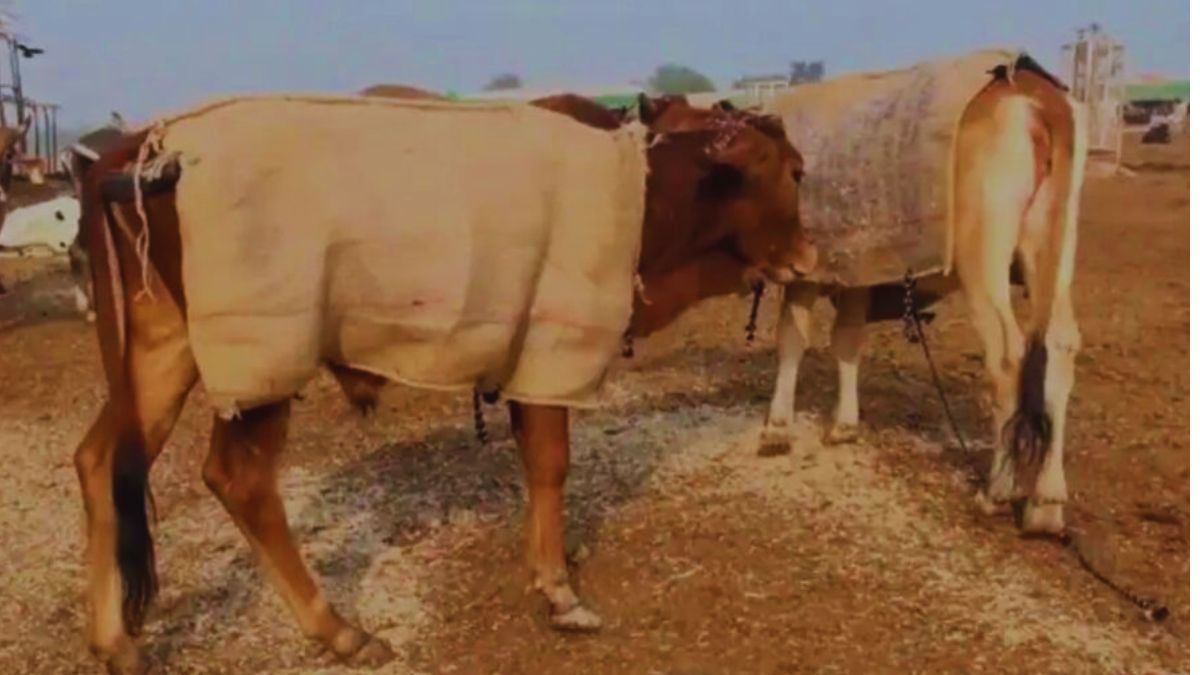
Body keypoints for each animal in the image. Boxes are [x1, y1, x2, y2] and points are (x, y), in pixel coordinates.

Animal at [74, 103, 815, 673]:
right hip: (259, 366)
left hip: (160, 350)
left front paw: (549, 563)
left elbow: (536, 464)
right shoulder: (551, 350)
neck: (644, 194)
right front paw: (559, 590)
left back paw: (113, 640)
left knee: (98, 458)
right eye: (796, 170)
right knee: (238, 479)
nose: (811, 255)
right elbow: (552, 464)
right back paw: (339, 630)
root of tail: (145, 144)